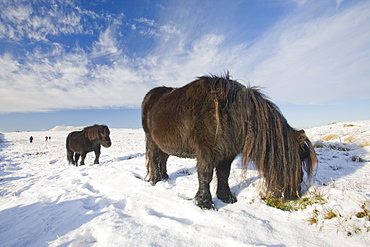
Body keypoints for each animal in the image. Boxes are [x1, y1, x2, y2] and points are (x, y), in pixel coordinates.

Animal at [141, 74, 316, 209]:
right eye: (299, 160)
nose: (294, 194)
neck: (232, 114)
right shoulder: (206, 151)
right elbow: (205, 175)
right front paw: (205, 203)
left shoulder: (228, 152)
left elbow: (224, 174)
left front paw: (226, 197)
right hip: (151, 140)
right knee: (155, 159)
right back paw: (156, 180)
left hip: (165, 144)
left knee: (163, 159)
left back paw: (165, 178)